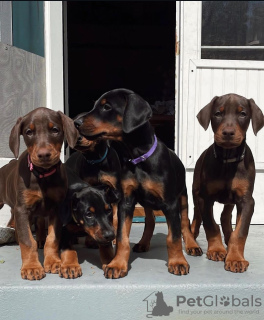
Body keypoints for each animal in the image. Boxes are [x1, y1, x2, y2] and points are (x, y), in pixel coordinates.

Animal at [0, 108, 78, 280]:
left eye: (55, 130)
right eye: (29, 132)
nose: (43, 154)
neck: (43, 175)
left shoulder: (56, 208)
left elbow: (52, 238)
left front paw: (53, 261)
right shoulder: (22, 209)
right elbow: (28, 240)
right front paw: (32, 267)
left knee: (40, 223)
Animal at [73, 89, 201, 278]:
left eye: (107, 106)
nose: (76, 123)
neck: (138, 157)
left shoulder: (170, 203)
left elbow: (174, 237)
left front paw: (177, 262)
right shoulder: (126, 201)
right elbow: (122, 237)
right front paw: (117, 264)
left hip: (182, 195)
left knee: (185, 221)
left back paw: (192, 245)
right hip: (146, 201)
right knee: (150, 220)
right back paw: (143, 243)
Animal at [191, 94, 262, 274]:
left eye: (243, 114)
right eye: (217, 113)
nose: (228, 133)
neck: (228, 160)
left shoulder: (247, 200)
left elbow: (241, 231)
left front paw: (235, 258)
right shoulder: (205, 197)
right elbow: (210, 224)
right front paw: (216, 250)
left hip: (231, 198)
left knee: (225, 215)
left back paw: (229, 237)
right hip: (196, 191)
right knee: (197, 215)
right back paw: (192, 236)